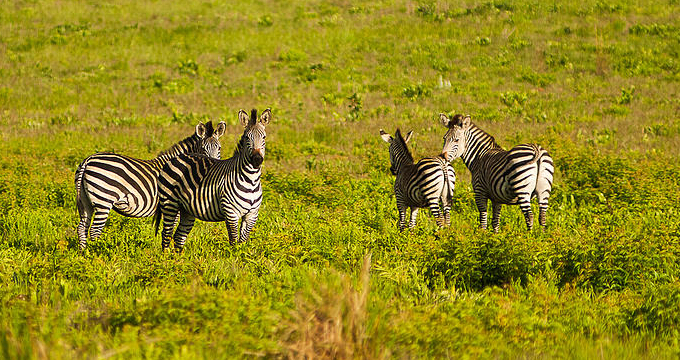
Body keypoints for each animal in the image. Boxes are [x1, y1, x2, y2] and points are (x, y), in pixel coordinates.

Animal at [75, 119, 226, 249]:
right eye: (203, 149)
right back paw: (96, 252)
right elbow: (170, 230)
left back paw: (84, 254)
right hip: (104, 200)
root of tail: (88, 160)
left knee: (82, 227)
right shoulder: (173, 204)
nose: (213, 165)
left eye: (219, 148)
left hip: (86, 201)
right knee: (95, 230)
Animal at [154, 107, 270, 250]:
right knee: (166, 234)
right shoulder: (231, 213)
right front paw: (233, 256)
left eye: (264, 137)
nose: (257, 160)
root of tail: (176, 157)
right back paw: (165, 256)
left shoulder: (252, 215)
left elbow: (242, 242)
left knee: (178, 236)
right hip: (169, 203)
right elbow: (233, 242)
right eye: (247, 138)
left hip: (186, 209)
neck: (251, 180)